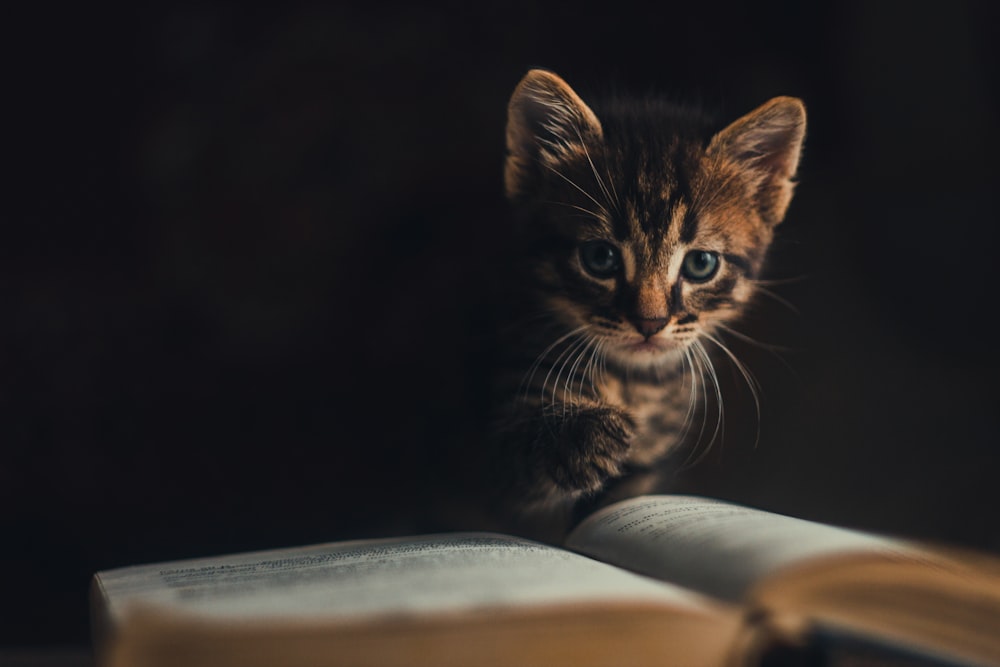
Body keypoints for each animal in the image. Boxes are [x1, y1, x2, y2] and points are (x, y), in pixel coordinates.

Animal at [460, 69, 804, 536]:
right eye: (600, 258)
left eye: (700, 264)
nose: (650, 322)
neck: (635, 385)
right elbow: (508, 471)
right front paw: (580, 436)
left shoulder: (651, 468)